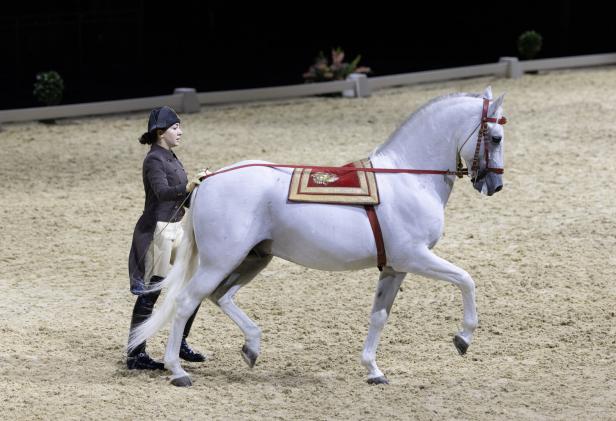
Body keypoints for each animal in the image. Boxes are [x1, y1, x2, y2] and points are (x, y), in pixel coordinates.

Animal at [129, 87, 506, 386]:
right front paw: (463, 338)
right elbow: (466, 279)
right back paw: (178, 371)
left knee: (219, 296)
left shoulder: (394, 268)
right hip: (220, 261)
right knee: (185, 303)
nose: (495, 185)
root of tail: (207, 181)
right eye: (496, 137)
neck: (407, 177)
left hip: (254, 258)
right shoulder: (414, 257)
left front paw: (373, 370)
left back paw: (251, 347)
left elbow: (378, 316)